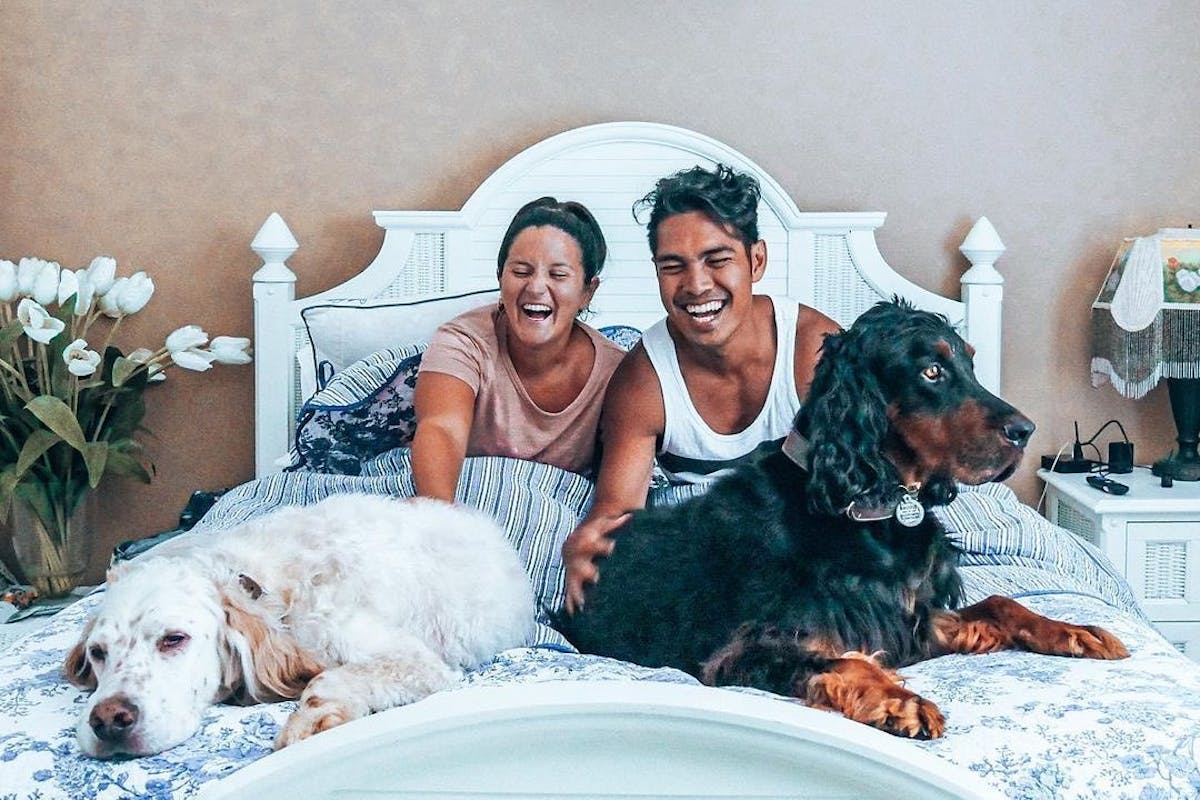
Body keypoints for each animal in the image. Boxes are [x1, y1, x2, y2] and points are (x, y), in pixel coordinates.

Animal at [64, 491, 535, 762]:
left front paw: (312, 718)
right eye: (98, 653)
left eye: (173, 639)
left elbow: (329, 677)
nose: (107, 720)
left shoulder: (416, 661)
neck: (267, 590)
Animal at [561, 298, 1123, 738]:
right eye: (931, 371)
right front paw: (901, 701)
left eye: (970, 365)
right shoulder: (737, 650)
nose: (1025, 431)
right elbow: (843, 658)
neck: (872, 508)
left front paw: (1075, 631)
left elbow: (1002, 603)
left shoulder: (912, 618)